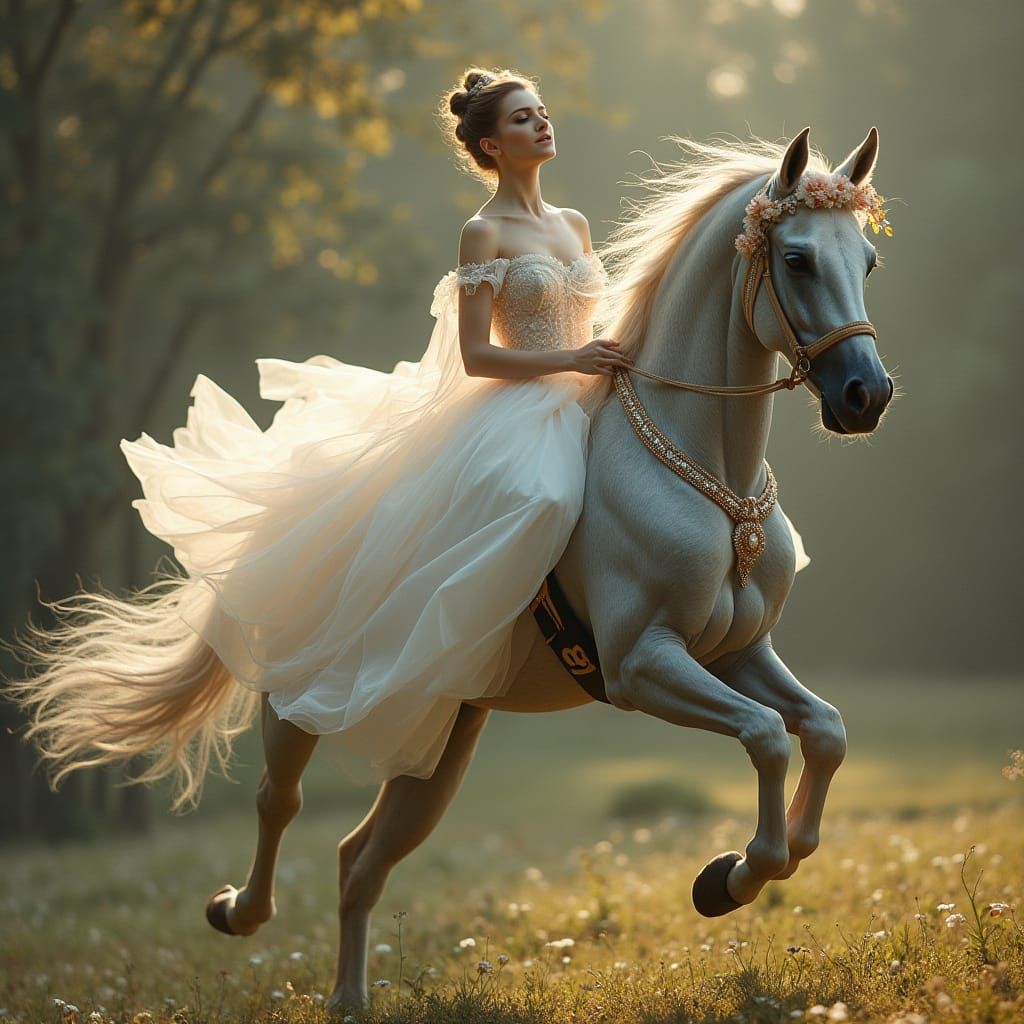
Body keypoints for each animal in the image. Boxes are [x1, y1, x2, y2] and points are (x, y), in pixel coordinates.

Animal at [10, 126, 895, 1013]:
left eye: (868, 261)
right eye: (797, 260)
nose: (867, 397)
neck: (707, 482)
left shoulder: (737, 652)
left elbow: (824, 731)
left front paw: (749, 867)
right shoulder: (643, 665)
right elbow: (768, 737)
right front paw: (728, 879)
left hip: (443, 738)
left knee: (360, 859)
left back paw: (349, 1000)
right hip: (301, 698)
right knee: (279, 800)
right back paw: (237, 912)